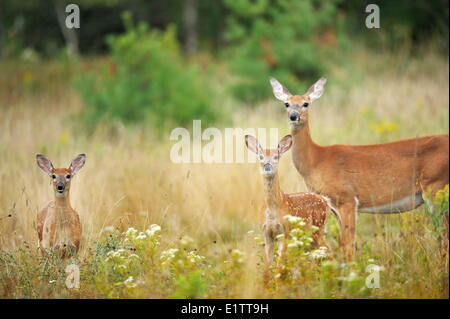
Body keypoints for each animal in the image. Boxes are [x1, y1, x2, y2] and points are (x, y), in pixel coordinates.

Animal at [246, 134, 330, 286]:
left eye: (276, 156)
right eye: (261, 156)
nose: (267, 165)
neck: (274, 208)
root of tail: (326, 201)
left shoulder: (284, 232)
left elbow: (278, 270)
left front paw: (278, 288)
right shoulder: (267, 234)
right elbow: (266, 272)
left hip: (317, 230)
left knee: (329, 251)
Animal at [268, 76, 448, 262]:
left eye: (306, 103)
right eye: (286, 103)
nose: (293, 116)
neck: (316, 160)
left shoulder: (347, 199)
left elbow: (348, 247)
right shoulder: (334, 206)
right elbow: (342, 246)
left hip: (436, 186)